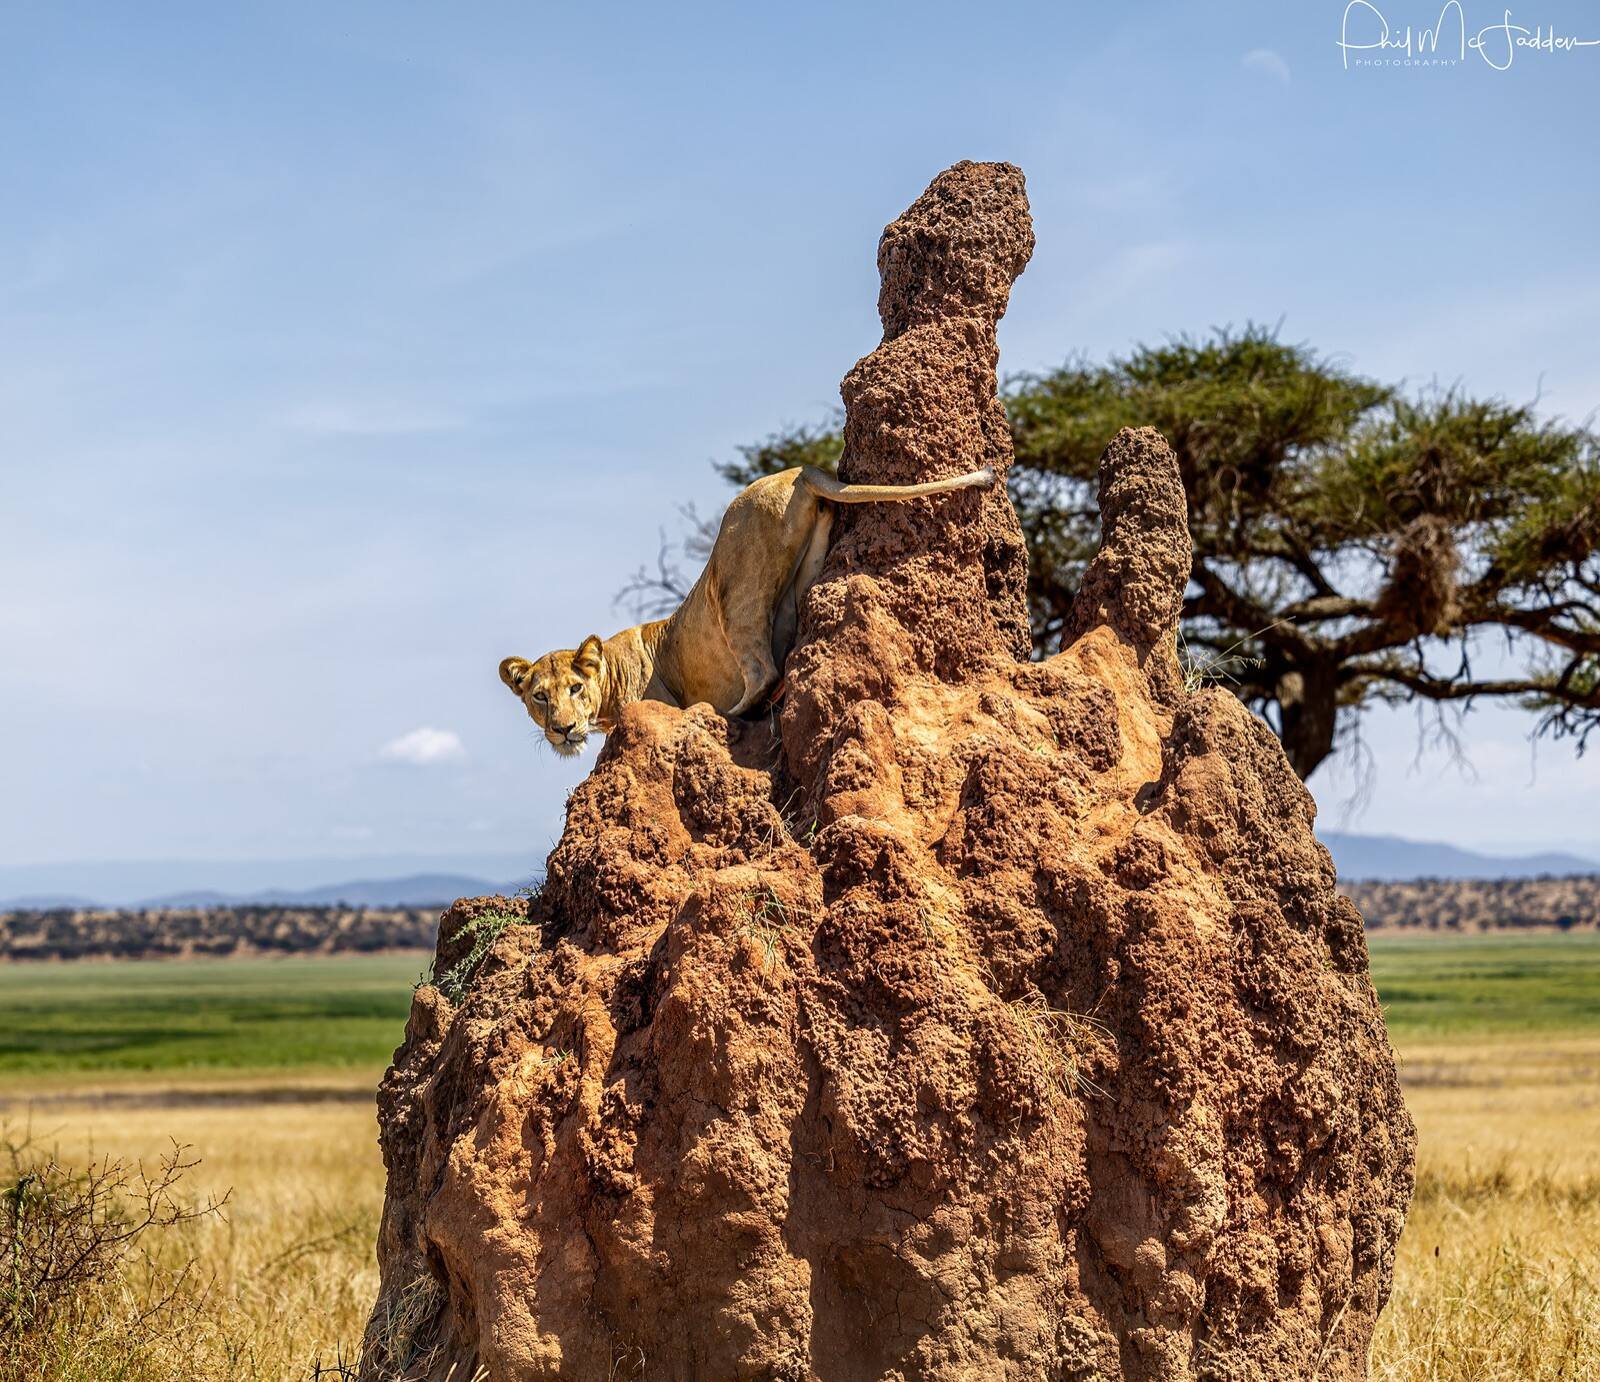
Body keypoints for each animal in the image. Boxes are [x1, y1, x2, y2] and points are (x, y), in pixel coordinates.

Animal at [499, 463, 996, 756]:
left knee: (763, 671)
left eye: (575, 688)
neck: (612, 674)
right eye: (539, 696)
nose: (563, 729)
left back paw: (720, 717)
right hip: (804, 570)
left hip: (732, 583)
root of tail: (801, 470)